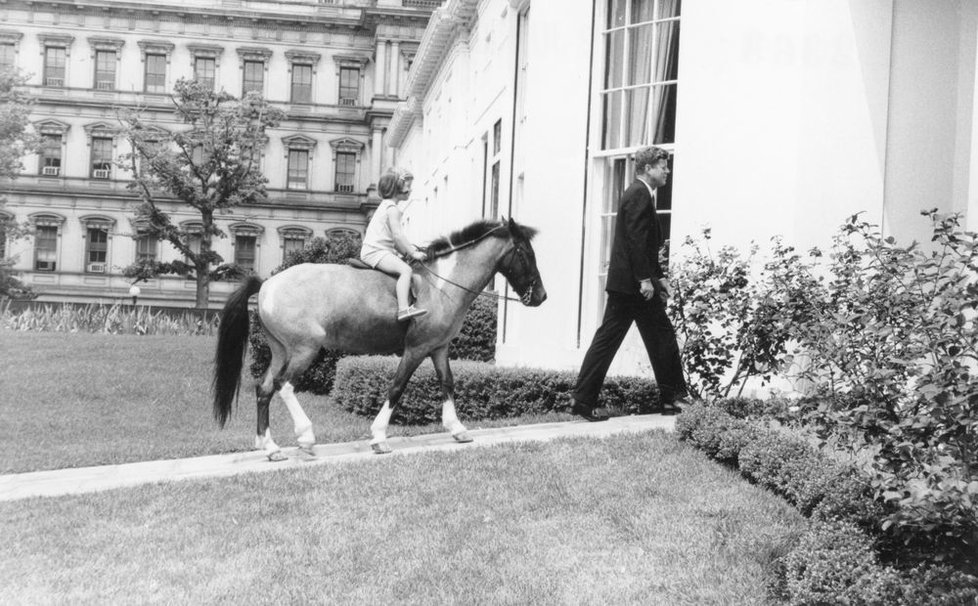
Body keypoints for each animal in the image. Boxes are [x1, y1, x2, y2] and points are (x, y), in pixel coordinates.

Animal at [214, 218, 544, 460]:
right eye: (526, 253)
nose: (541, 296)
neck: (440, 284)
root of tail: (266, 283)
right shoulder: (416, 349)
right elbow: (397, 387)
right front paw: (379, 437)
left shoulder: (439, 347)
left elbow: (447, 383)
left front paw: (457, 428)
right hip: (304, 350)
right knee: (284, 386)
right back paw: (306, 437)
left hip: (282, 351)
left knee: (265, 388)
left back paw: (270, 447)